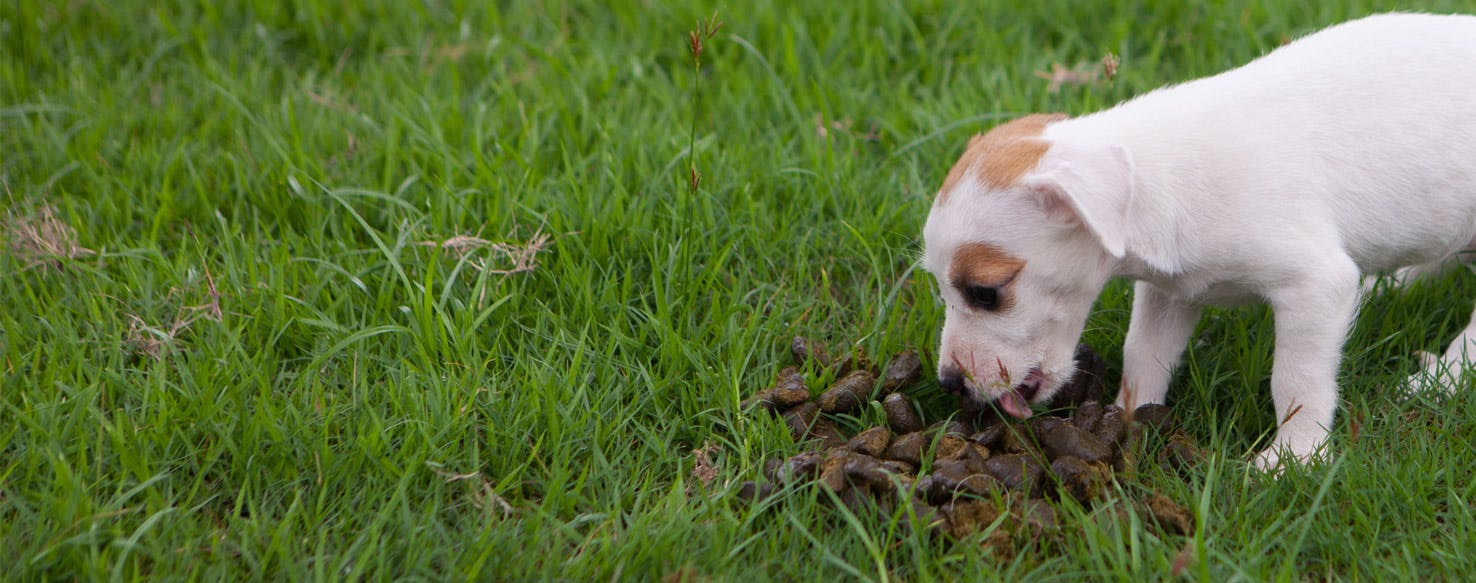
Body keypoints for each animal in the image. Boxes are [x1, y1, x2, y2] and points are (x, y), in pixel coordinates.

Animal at [921, 13, 1476, 469]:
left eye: (984, 293)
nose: (948, 383)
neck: (1156, 176)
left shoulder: (1316, 285)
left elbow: (1295, 380)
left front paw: (1294, 458)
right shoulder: (1167, 294)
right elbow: (1143, 356)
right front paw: (1124, 421)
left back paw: (1445, 376)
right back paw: (1393, 285)